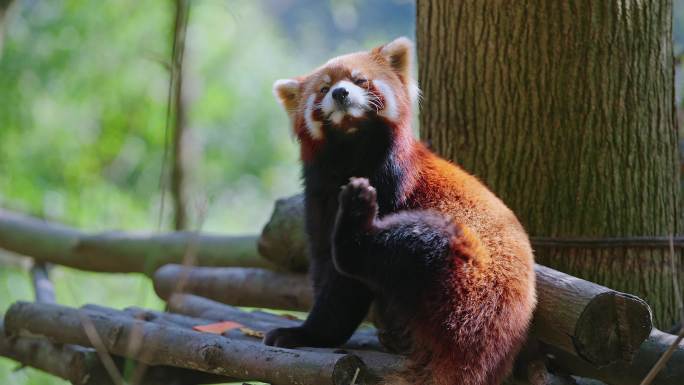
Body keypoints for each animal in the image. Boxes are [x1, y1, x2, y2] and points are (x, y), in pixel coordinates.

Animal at [264, 36, 536, 384]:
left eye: (359, 80)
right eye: (324, 89)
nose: (340, 93)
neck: (352, 153)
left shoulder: (391, 184)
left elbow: (345, 285)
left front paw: (309, 332)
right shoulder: (319, 196)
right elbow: (324, 263)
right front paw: (308, 333)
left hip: (470, 276)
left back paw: (355, 220)